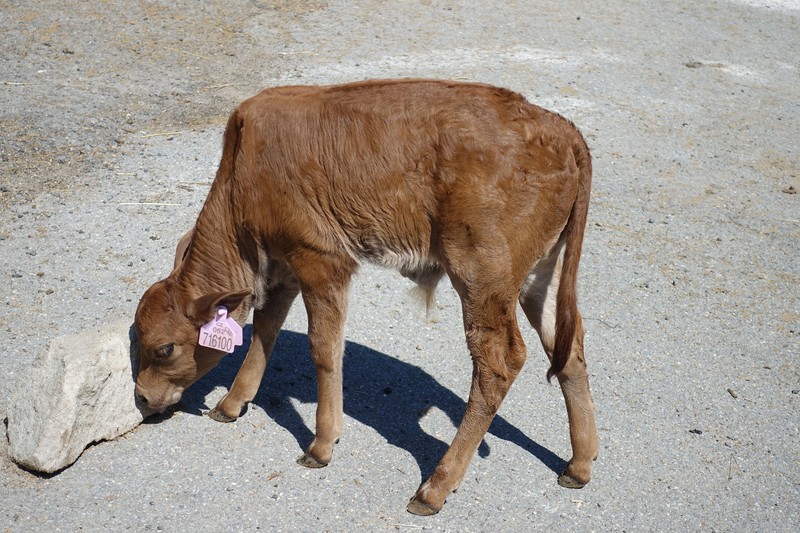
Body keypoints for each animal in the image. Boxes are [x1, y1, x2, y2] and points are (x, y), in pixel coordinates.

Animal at [133, 79, 598, 515]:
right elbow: (265, 330)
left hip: (482, 278)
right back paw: (579, 465)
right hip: (540, 276)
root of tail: (557, 127)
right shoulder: (283, 269)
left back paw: (434, 488)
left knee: (499, 362)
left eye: (164, 349)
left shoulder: (321, 261)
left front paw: (321, 445)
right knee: (567, 346)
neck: (241, 170)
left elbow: (324, 349)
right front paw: (232, 403)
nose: (141, 396)